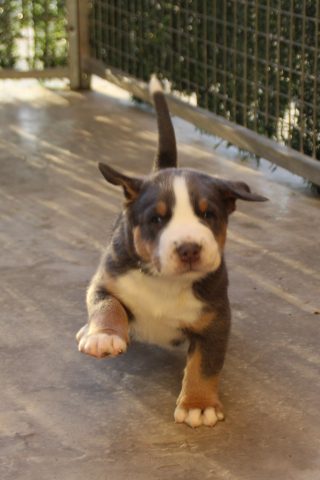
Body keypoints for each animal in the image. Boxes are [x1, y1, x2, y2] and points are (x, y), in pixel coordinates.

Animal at [75, 77, 268, 430]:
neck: (165, 281)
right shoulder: (106, 280)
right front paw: (104, 336)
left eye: (208, 215)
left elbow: (204, 366)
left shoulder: (215, 319)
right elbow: (108, 305)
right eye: (157, 219)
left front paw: (198, 405)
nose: (189, 248)